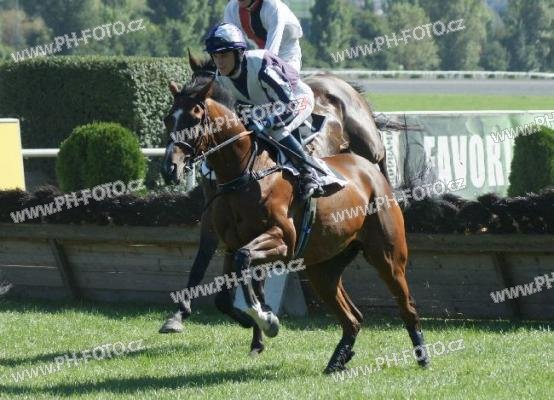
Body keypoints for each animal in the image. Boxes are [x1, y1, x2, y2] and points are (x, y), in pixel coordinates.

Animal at [160, 72, 429, 374]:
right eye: (169, 119)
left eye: (194, 118)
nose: (170, 168)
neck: (245, 174)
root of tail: (370, 170)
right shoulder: (230, 244)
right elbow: (222, 295)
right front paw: (252, 321)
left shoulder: (281, 240)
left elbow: (245, 261)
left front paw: (266, 319)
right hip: (323, 268)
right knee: (353, 317)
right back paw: (337, 360)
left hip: (387, 257)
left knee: (407, 305)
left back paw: (422, 356)